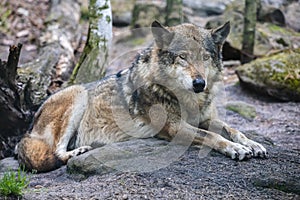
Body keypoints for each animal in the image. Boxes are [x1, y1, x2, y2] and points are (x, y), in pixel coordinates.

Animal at [15, 21, 268, 173]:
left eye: (205, 57)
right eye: (182, 57)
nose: (199, 83)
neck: (188, 99)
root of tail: (26, 132)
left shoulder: (206, 118)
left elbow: (233, 129)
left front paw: (253, 144)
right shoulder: (175, 128)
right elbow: (212, 136)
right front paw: (235, 149)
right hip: (78, 94)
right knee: (57, 153)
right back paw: (79, 151)